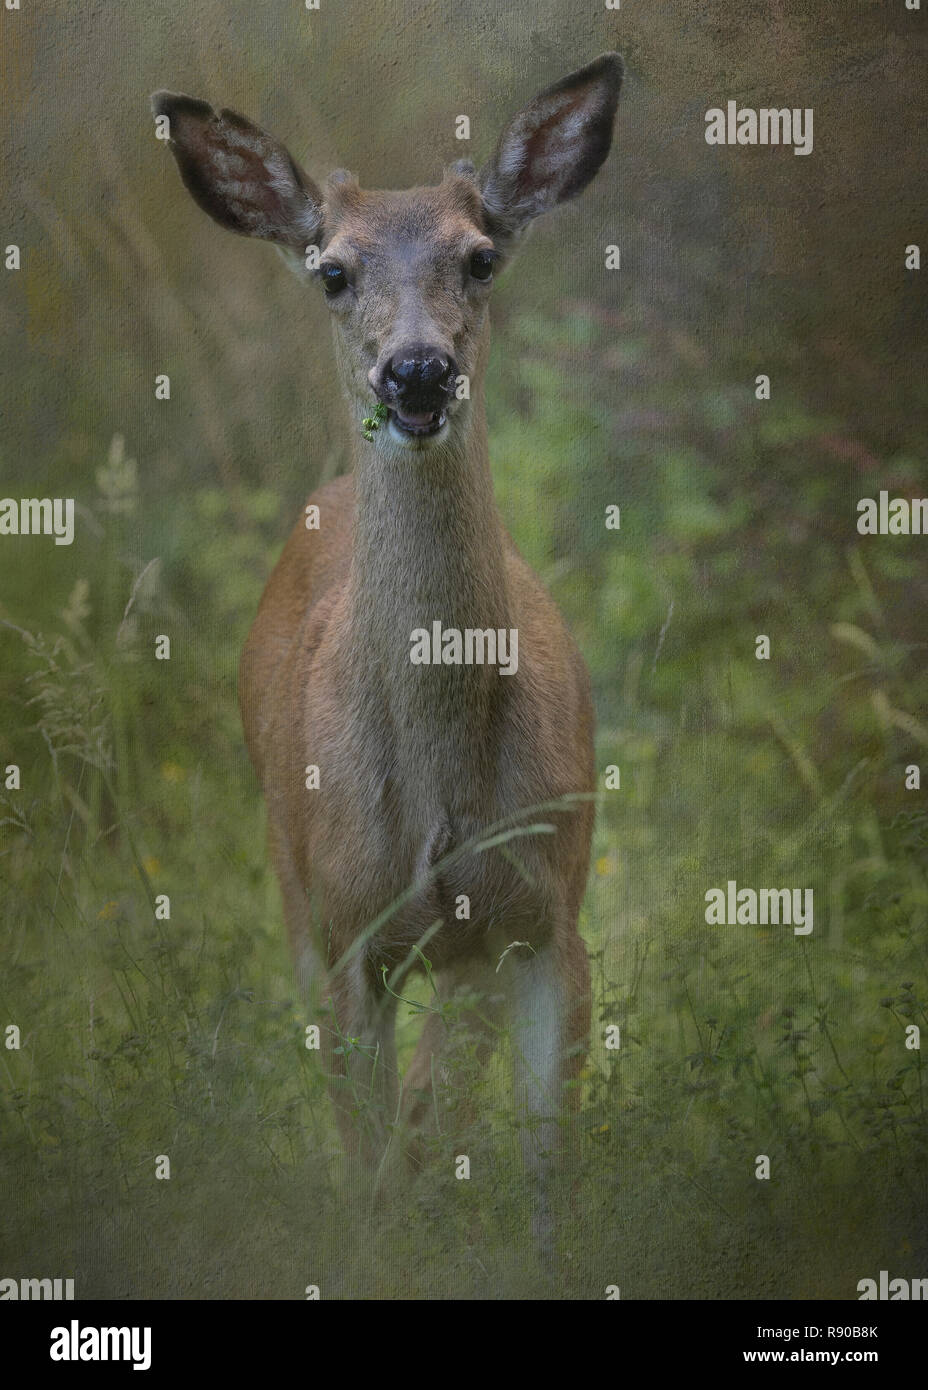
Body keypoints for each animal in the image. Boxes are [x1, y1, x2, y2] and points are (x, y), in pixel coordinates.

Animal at [153, 53, 622, 1243]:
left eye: (481, 256)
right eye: (331, 271)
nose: (415, 372)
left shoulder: (547, 916)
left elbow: (544, 1164)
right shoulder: (346, 935)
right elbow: (370, 1157)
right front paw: (387, 1247)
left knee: (437, 1087)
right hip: (290, 871)